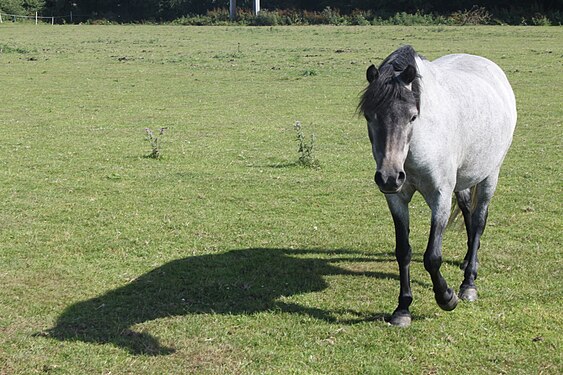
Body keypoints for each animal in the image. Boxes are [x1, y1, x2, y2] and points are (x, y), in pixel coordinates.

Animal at [360, 45, 516, 328]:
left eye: (413, 116)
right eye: (369, 116)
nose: (389, 177)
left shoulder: (440, 195)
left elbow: (432, 257)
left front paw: (447, 297)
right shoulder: (396, 198)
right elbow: (403, 251)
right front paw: (402, 309)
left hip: (490, 175)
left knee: (479, 220)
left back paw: (469, 283)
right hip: (463, 179)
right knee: (467, 211)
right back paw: (467, 261)